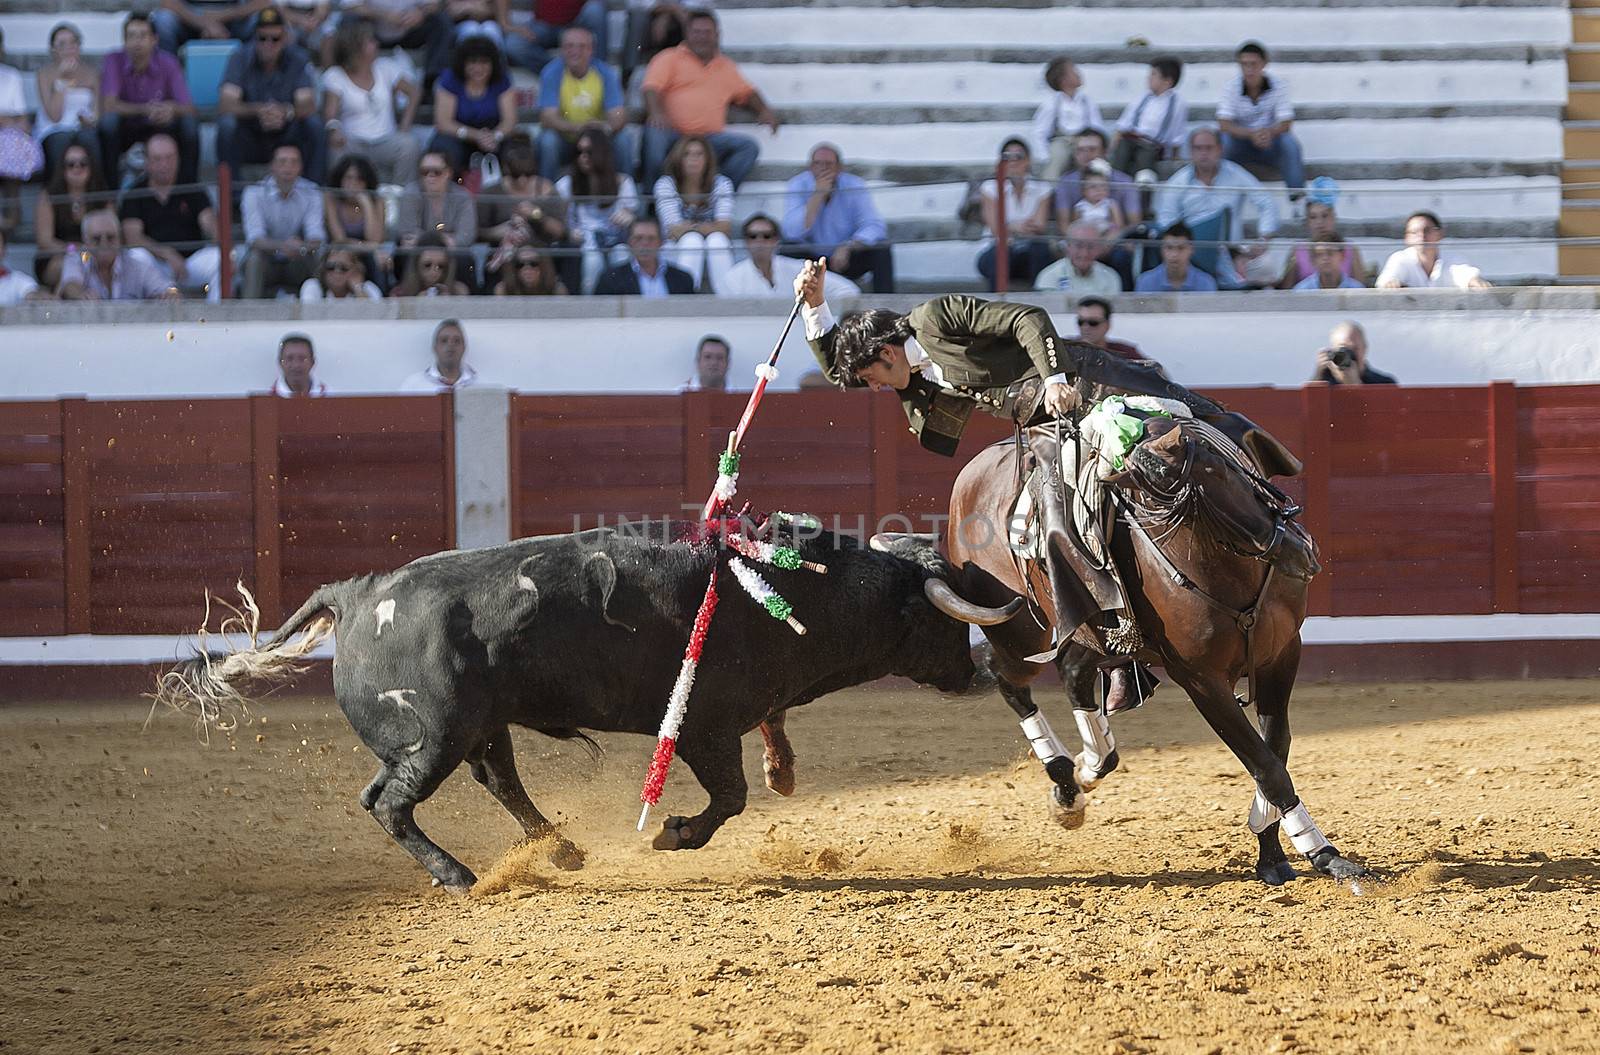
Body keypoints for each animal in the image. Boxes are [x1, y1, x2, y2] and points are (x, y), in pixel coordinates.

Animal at [156, 525, 1017, 896]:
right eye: (943, 617)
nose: (984, 670)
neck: (793, 593)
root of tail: (359, 592)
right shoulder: (704, 728)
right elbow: (729, 798)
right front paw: (674, 834)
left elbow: (762, 759)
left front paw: (785, 769)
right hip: (430, 738)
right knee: (388, 802)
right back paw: (462, 876)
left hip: (480, 727)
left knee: (499, 781)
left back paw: (562, 849)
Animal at [940, 416, 1369, 890]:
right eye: (1185, 503)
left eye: (1226, 467)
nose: (1301, 552)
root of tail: (973, 470)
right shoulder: (1201, 680)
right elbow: (1266, 763)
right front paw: (1326, 856)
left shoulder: (1282, 653)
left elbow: (1276, 747)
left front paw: (1272, 852)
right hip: (1019, 631)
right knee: (1006, 675)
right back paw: (1066, 781)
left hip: (1091, 631)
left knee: (1074, 674)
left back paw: (1089, 766)